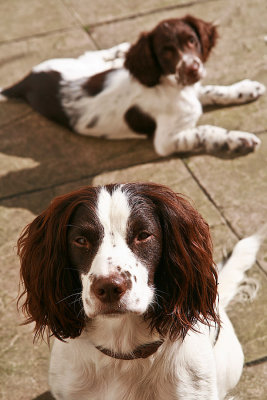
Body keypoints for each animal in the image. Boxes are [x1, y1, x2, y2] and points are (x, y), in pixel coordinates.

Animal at [0, 15, 266, 159]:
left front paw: (246, 90)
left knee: (97, 55)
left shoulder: (193, 87)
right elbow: (206, 131)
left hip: (84, 64)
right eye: (165, 52)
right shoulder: (166, 140)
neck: (173, 86)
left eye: (192, 40)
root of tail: (29, 78)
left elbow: (214, 90)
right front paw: (238, 139)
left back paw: (120, 50)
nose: (192, 68)